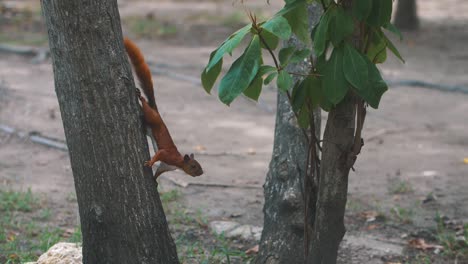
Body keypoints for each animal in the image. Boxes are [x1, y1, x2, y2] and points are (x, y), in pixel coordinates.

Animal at [123, 36, 204, 177]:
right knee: (146, 107)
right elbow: (159, 154)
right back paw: (141, 97)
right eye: (193, 166)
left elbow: (158, 172)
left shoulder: (164, 166)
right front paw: (150, 163)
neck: (179, 163)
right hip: (152, 117)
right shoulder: (167, 156)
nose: (202, 172)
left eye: (199, 164)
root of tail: (157, 112)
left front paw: (155, 181)